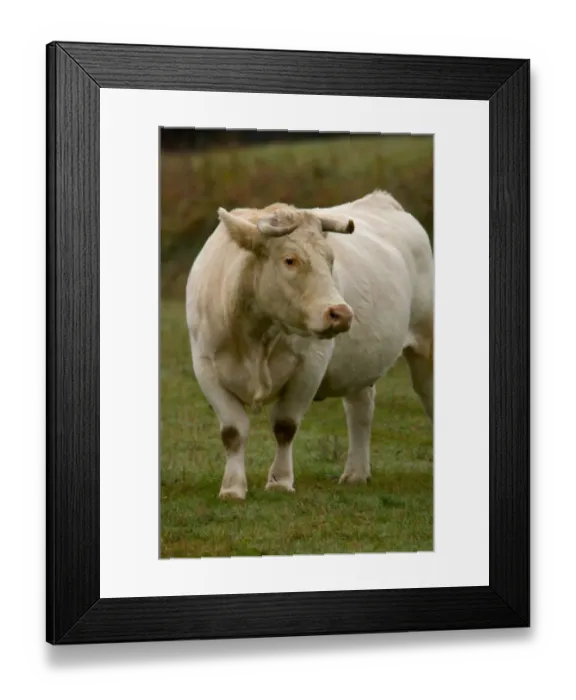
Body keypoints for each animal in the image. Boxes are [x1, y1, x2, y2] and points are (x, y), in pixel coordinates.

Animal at [185, 190, 434, 500]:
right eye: (290, 260)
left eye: (330, 259)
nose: (341, 313)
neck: (256, 335)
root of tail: (382, 199)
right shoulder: (205, 365)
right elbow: (233, 431)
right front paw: (232, 488)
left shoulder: (309, 366)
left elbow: (285, 425)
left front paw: (280, 481)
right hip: (361, 364)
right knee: (360, 409)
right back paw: (355, 473)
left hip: (426, 342)